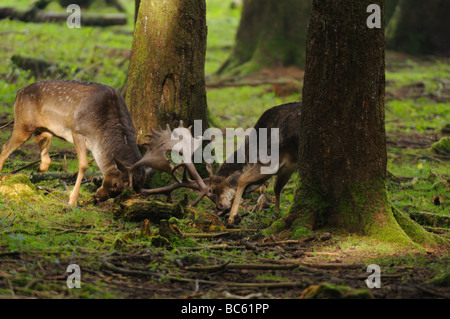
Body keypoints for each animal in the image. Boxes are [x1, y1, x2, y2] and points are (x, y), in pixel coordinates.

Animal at [0, 79, 147, 205]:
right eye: (116, 184)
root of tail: (19, 92)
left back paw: (41, 166)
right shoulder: (77, 130)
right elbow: (83, 165)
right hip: (23, 123)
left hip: (40, 127)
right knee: (5, 148)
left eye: (124, 190)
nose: (99, 197)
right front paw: (72, 200)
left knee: (43, 141)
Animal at [132, 102, 300, 225]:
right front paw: (276, 215)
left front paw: (232, 217)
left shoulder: (270, 159)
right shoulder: (288, 165)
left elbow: (243, 179)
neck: (250, 154)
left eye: (212, 190)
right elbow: (277, 187)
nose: (220, 207)